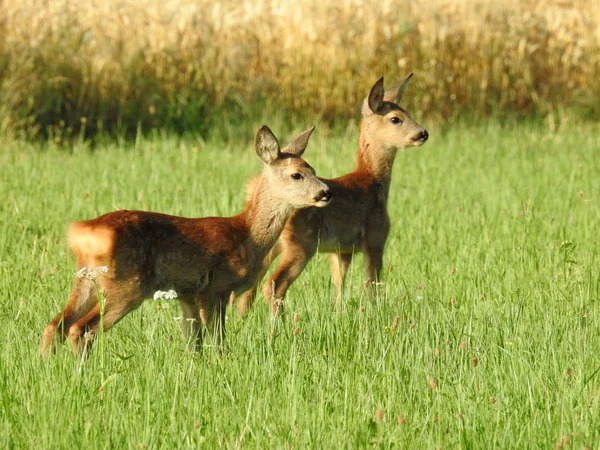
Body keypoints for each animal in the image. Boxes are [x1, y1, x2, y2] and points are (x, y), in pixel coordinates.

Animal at [41, 125, 332, 356]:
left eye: (313, 169)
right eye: (296, 175)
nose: (326, 192)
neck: (246, 235)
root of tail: (85, 231)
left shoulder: (187, 296)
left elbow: (195, 346)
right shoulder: (216, 289)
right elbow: (219, 344)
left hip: (87, 279)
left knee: (54, 325)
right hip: (126, 284)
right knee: (81, 329)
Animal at [232, 74, 428, 316]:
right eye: (395, 119)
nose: (423, 133)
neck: (373, 182)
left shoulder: (341, 250)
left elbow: (339, 283)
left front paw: (339, 313)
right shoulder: (376, 238)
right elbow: (372, 283)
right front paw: (374, 312)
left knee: (250, 288)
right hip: (301, 244)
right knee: (273, 285)